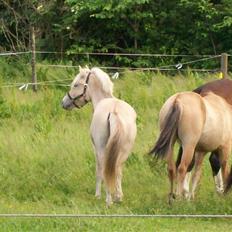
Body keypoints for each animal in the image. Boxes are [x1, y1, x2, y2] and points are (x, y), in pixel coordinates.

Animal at [62, 66, 137, 206]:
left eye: (76, 85)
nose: (63, 103)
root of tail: (114, 111)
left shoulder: (95, 149)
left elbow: (98, 171)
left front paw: (97, 195)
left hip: (102, 149)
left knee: (105, 169)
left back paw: (108, 200)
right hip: (124, 151)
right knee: (117, 169)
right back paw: (118, 197)